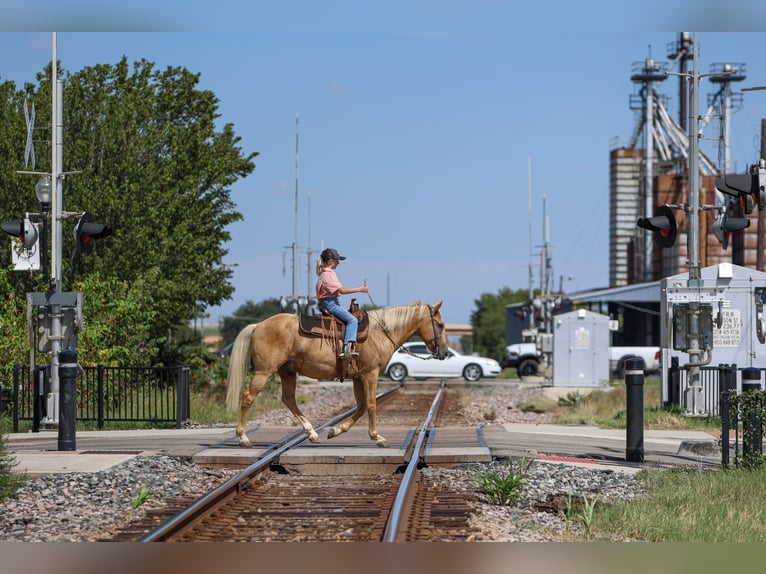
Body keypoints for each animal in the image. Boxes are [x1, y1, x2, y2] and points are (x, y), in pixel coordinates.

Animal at [225, 302, 450, 450]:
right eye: (440, 325)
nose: (444, 352)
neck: (380, 333)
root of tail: (258, 326)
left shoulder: (358, 377)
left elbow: (360, 406)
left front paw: (335, 431)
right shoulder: (370, 374)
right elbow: (371, 405)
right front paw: (377, 437)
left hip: (287, 372)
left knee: (288, 399)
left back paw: (313, 433)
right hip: (265, 372)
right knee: (248, 397)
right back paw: (243, 438)